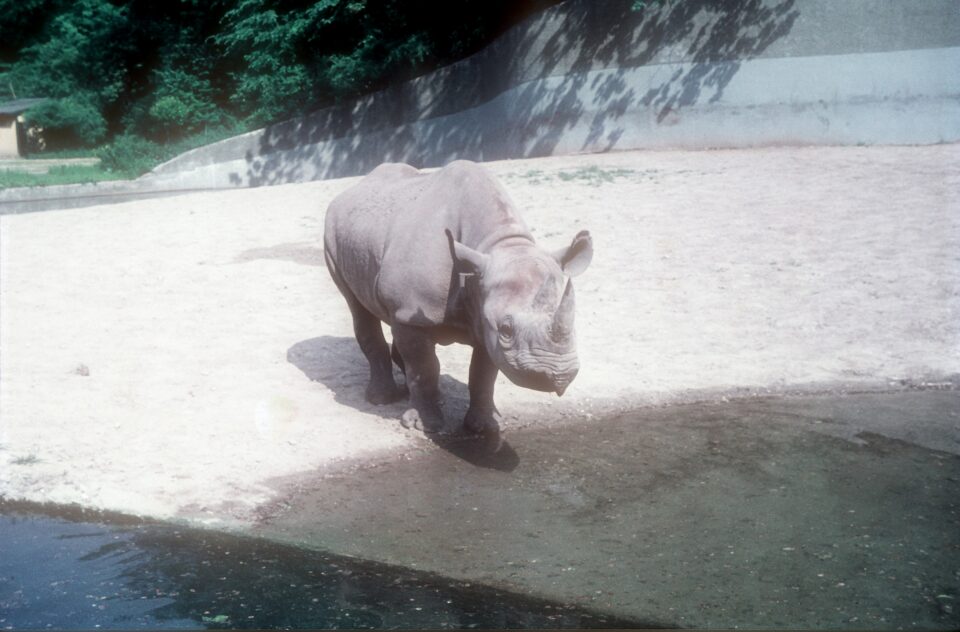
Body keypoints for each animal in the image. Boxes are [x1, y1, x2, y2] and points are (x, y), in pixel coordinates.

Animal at [323, 160, 592, 434]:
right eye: (506, 330)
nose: (557, 376)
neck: (495, 245)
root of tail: (353, 187)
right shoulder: (417, 312)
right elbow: (424, 367)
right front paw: (423, 426)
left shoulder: (482, 319)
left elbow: (483, 374)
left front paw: (485, 427)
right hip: (331, 234)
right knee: (357, 307)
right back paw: (382, 399)